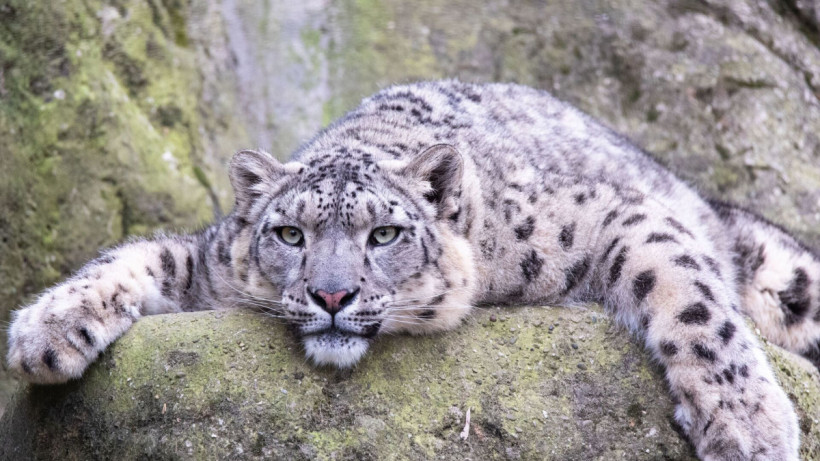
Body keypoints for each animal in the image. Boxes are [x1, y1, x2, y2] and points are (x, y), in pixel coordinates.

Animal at [8, 80, 820, 460]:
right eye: (290, 233)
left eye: (386, 232)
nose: (332, 294)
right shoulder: (212, 264)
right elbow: (140, 252)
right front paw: (43, 331)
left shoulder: (612, 215)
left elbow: (689, 294)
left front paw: (748, 425)